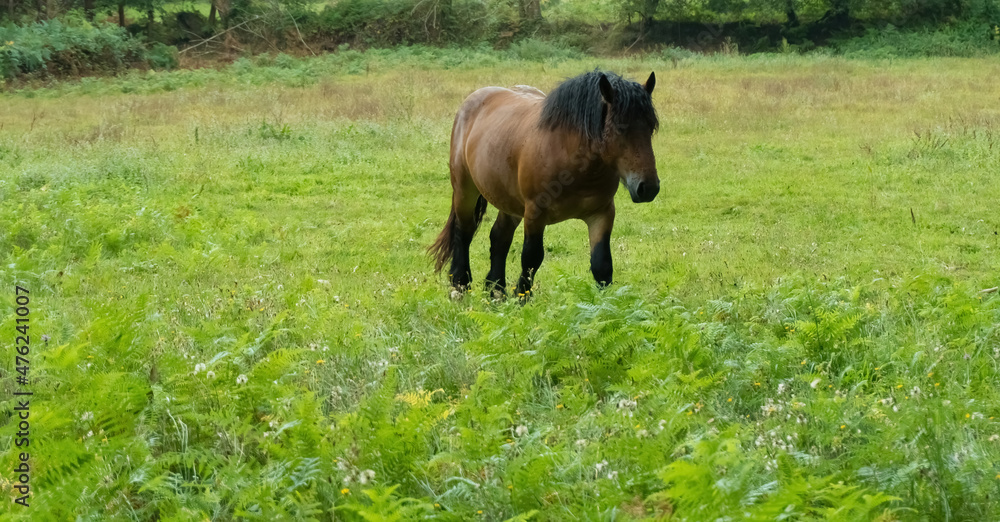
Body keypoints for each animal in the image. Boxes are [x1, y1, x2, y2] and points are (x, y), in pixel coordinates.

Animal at [429, 70, 659, 299]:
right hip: (465, 190)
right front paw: (522, 298)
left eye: (651, 127)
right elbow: (531, 258)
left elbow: (601, 265)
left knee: (499, 238)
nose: (648, 188)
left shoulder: (602, 214)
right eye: (620, 129)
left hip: (509, 202)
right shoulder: (535, 213)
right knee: (464, 232)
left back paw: (496, 291)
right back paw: (460, 285)